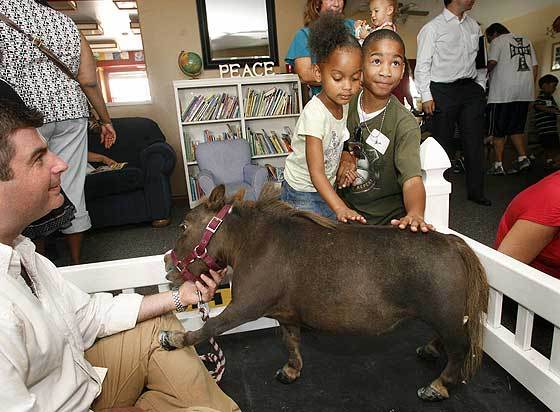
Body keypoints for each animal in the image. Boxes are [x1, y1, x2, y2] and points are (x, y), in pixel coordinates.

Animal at [160, 185, 488, 400]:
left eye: (183, 226)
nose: (167, 264)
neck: (256, 243)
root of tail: (452, 242)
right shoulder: (286, 314)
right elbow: (290, 342)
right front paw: (292, 370)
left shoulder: (244, 307)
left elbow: (209, 327)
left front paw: (173, 339)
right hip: (443, 315)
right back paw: (431, 349)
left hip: (444, 314)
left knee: (459, 348)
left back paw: (439, 385)